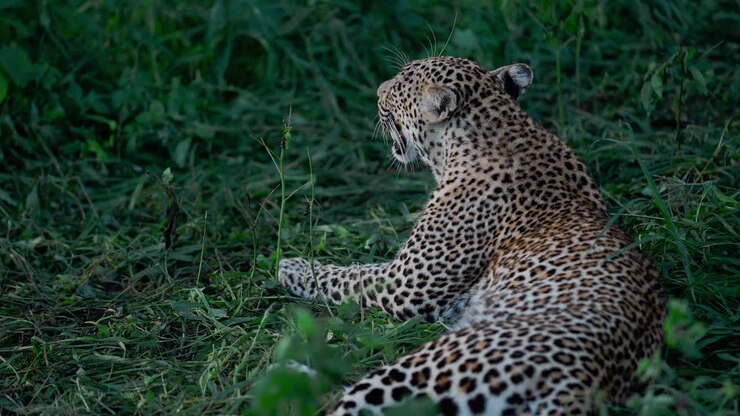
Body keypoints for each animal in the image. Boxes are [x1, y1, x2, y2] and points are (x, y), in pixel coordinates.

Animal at [278, 56, 665, 415]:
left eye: (399, 86)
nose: (377, 91)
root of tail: (581, 383)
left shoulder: (405, 286)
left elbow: (346, 275)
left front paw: (292, 265)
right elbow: (361, 268)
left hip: (432, 363)